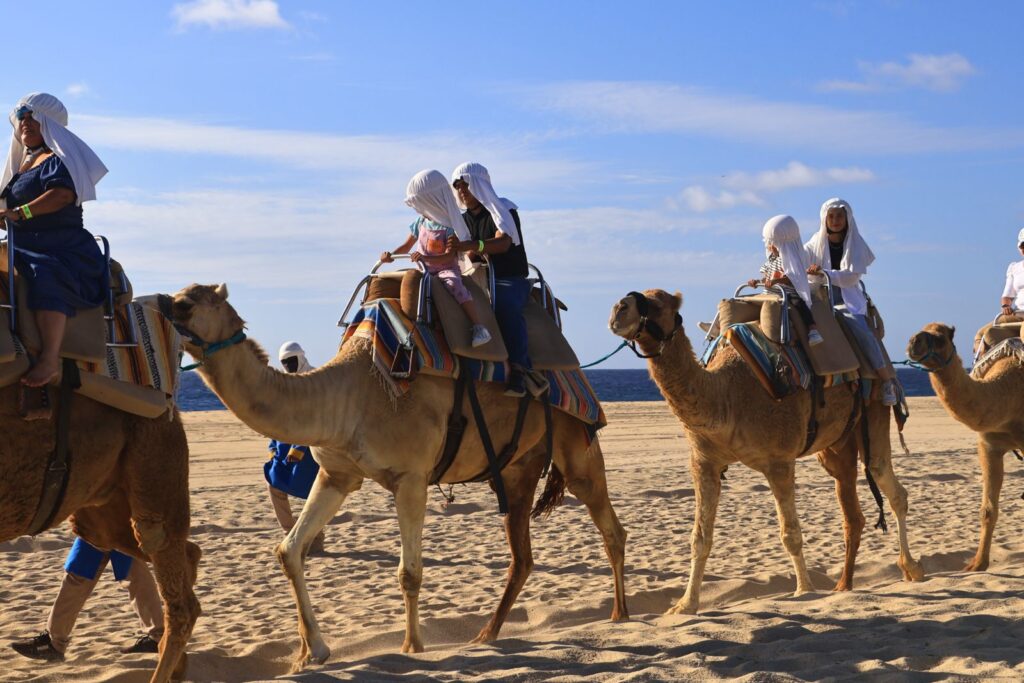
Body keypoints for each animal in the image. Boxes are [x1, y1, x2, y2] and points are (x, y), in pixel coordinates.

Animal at [164, 283, 627, 672]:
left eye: (185, 302)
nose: (156, 306)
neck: (350, 393)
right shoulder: (337, 474)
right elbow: (289, 550)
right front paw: (310, 652)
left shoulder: (411, 477)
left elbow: (409, 572)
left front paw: (412, 647)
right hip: (517, 468)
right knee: (523, 556)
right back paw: (486, 633)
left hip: (577, 444)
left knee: (609, 526)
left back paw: (619, 614)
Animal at [608, 289, 923, 615]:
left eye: (659, 304)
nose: (619, 309)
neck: (727, 396)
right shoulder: (704, 462)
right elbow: (700, 539)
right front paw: (685, 605)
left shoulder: (779, 461)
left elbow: (790, 534)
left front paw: (804, 590)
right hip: (837, 443)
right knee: (851, 504)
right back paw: (843, 585)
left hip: (875, 404)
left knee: (886, 479)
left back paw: (911, 568)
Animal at [908, 322, 1022, 571]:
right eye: (920, 329)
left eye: (940, 338)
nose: (913, 342)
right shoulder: (988, 445)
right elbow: (987, 510)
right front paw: (977, 564)